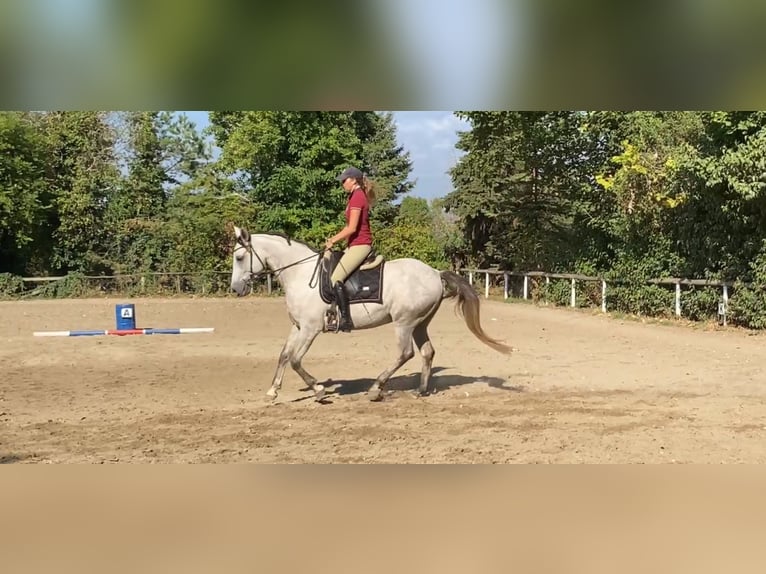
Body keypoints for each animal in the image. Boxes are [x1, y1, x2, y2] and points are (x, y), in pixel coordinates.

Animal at [230, 226, 513, 402]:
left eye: (240, 257)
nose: (235, 289)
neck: (301, 274)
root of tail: (434, 272)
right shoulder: (298, 327)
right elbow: (284, 355)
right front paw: (272, 391)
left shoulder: (311, 329)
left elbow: (297, 360)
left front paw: (319, 391)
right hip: (420, 323)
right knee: (427, 352)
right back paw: (420, 390)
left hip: (404, 322)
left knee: (405, 353)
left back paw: (376, 388)